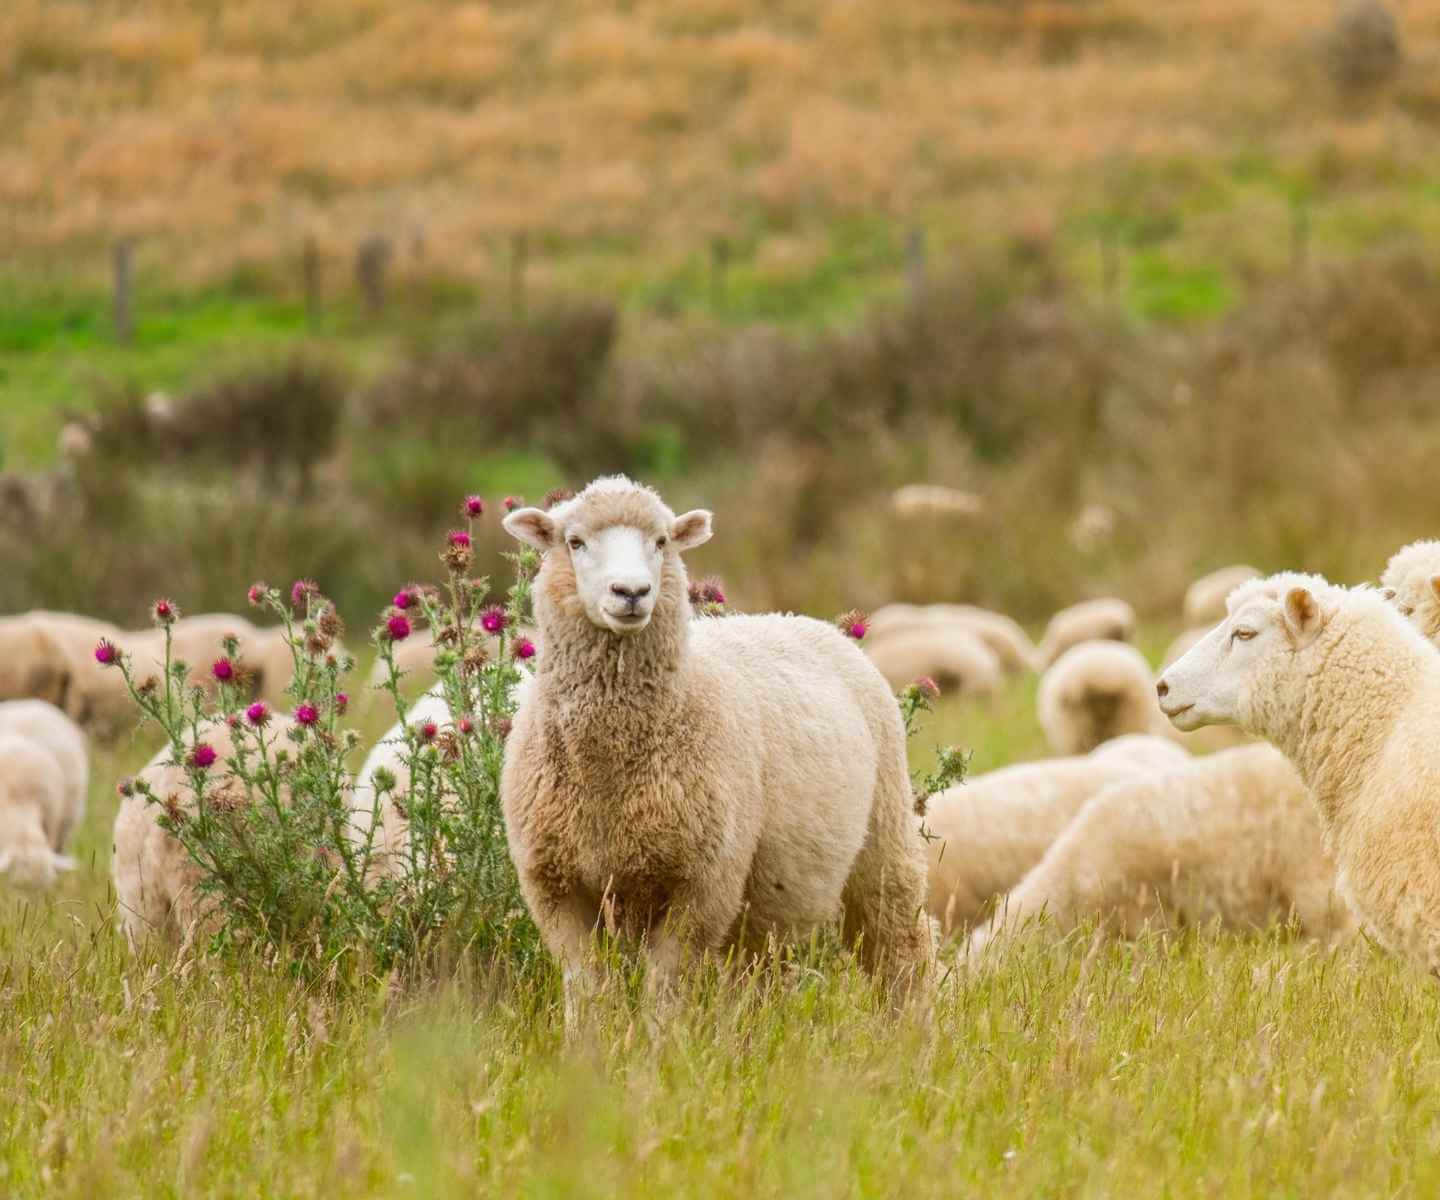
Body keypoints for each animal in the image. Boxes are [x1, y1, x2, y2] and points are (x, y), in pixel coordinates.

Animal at [500, 475, 935, 1027]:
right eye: (574, 542)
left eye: (662, 541)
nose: (631, 593)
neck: (610, 773)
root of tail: (798, 619)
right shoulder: (555, 885)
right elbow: (589, 988)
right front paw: (588, 1047)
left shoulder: (702, 885)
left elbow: (664, 988)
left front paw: (658, 1044)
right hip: (767, 900)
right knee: (759, 973)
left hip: (883, 838)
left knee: (900, 943)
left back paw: (910, 1029)